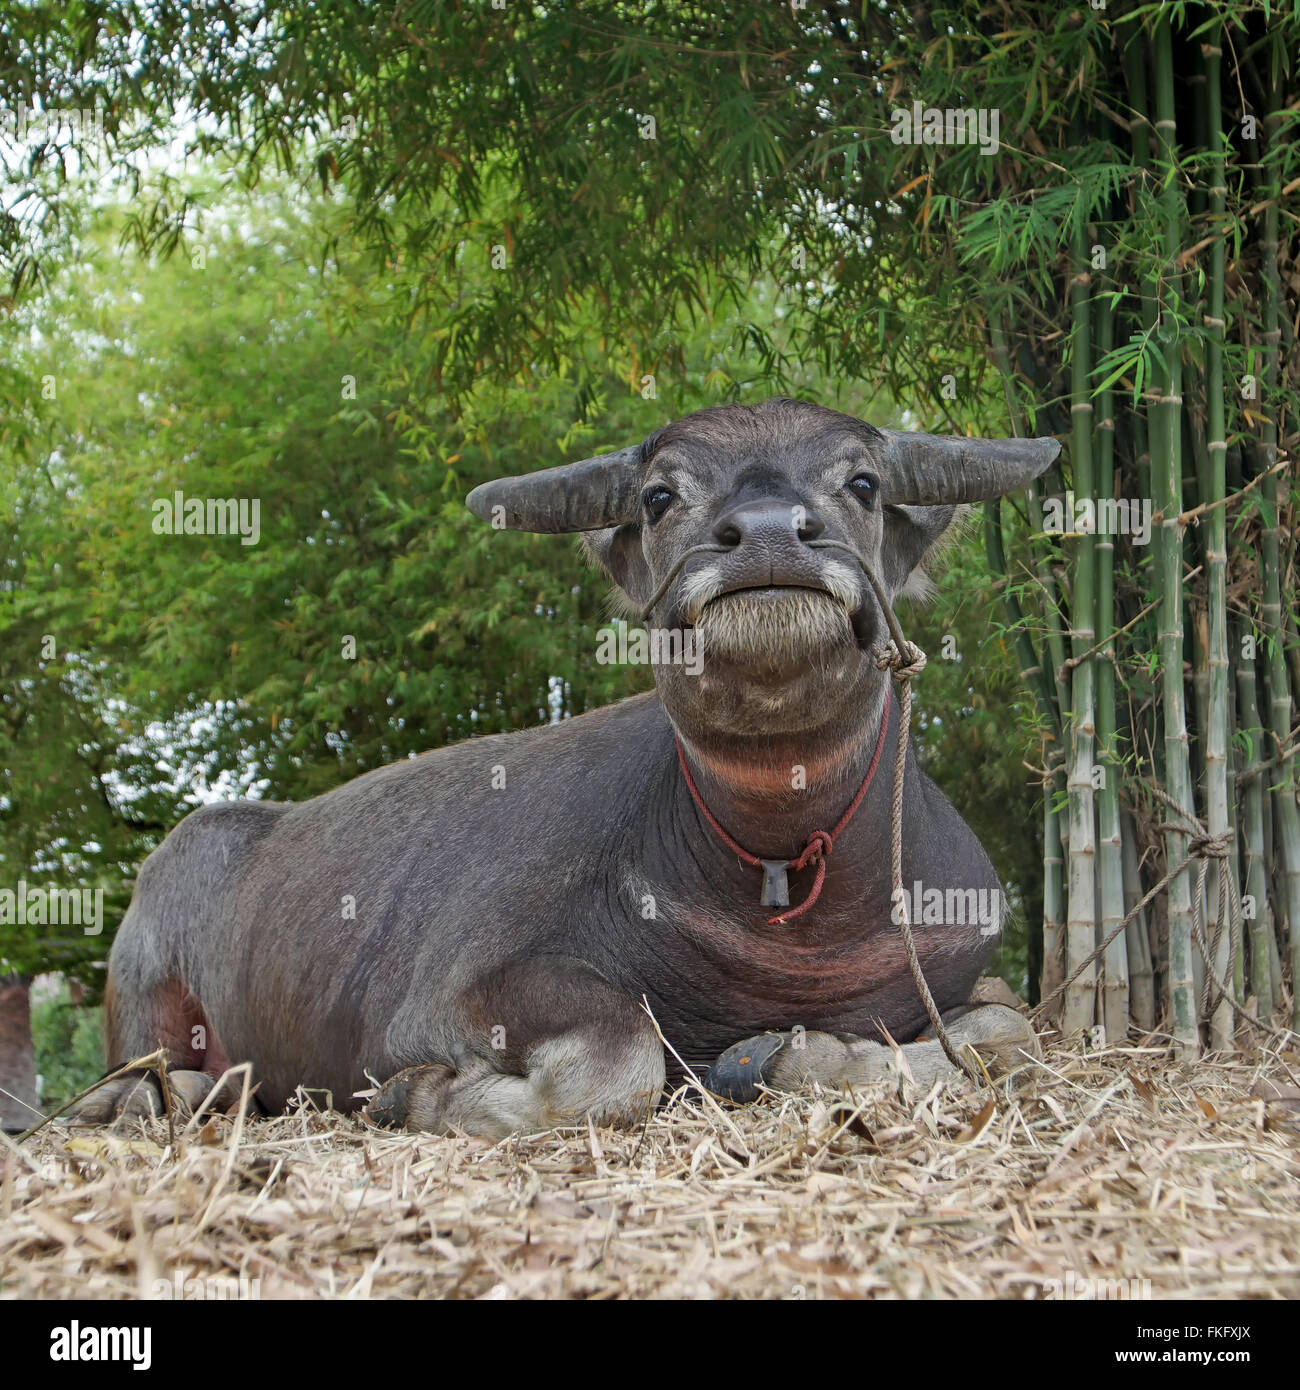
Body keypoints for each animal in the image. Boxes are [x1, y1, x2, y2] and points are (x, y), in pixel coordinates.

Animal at [83, 397, 1056, 1134]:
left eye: (862, 482)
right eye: (661, 495)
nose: (768, 534)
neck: (784, 888)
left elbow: (1009, 1034)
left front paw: (795, 1054)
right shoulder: (452, 999)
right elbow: (621, 1056)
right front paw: (415, 1095)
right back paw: (164, 1097)